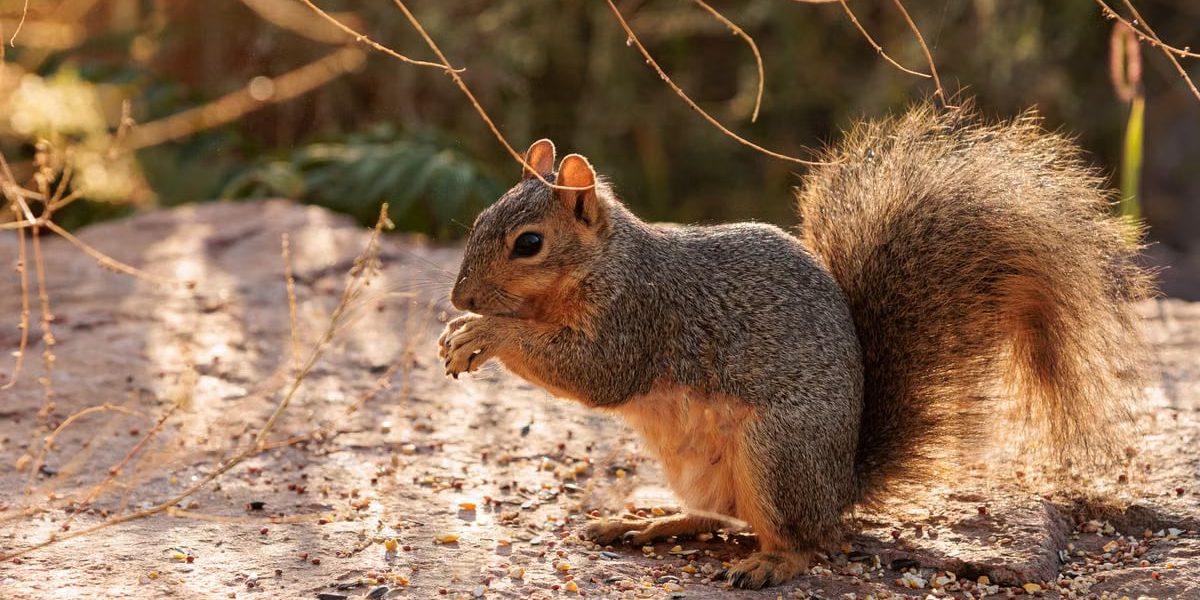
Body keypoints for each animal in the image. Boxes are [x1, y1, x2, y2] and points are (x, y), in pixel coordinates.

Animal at [437, 103, 1151, 589]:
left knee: (802, 542)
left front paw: (484, 334)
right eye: (479, 220)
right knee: (720, 517)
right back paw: (646, 523)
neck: (607, 263)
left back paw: (767, 565)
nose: (460, 297)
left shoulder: (638, 318)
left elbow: (595, 373)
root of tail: (839, 489)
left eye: (529, 243)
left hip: (776, 453)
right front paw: (460, 332)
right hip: (711, 469)